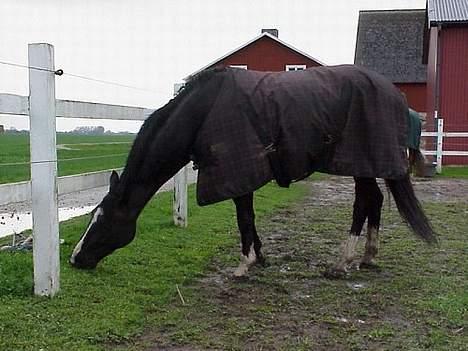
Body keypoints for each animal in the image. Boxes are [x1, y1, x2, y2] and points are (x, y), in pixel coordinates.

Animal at [70, 64, 438, 276]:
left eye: (101, 221)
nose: (75, 259)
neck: (201, 114)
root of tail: (395, 94)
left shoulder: (237, 171)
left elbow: (244, 216)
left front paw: (244, 264)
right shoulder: (239, 173)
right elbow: (249, 217)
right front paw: (260, 257)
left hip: (360, 161)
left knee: (363, 203)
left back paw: (342, 262)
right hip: (366, 162)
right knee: (374, 200)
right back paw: (367, 257)